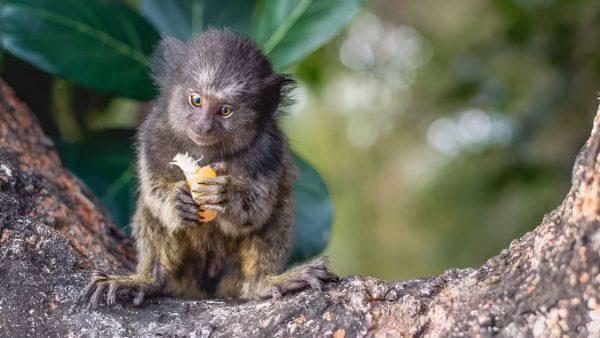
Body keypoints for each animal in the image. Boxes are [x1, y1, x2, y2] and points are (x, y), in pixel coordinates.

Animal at [81, 30, 338, 308]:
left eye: (225, 110)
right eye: (196, 100)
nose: (204, 125)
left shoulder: (269, 150)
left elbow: (256, 211)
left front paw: (224, 196)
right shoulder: (153, 136)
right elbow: (155, 192)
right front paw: (177, 200)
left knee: (280, 202)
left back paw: (264, 282)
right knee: (150, 211)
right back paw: (149, 280)